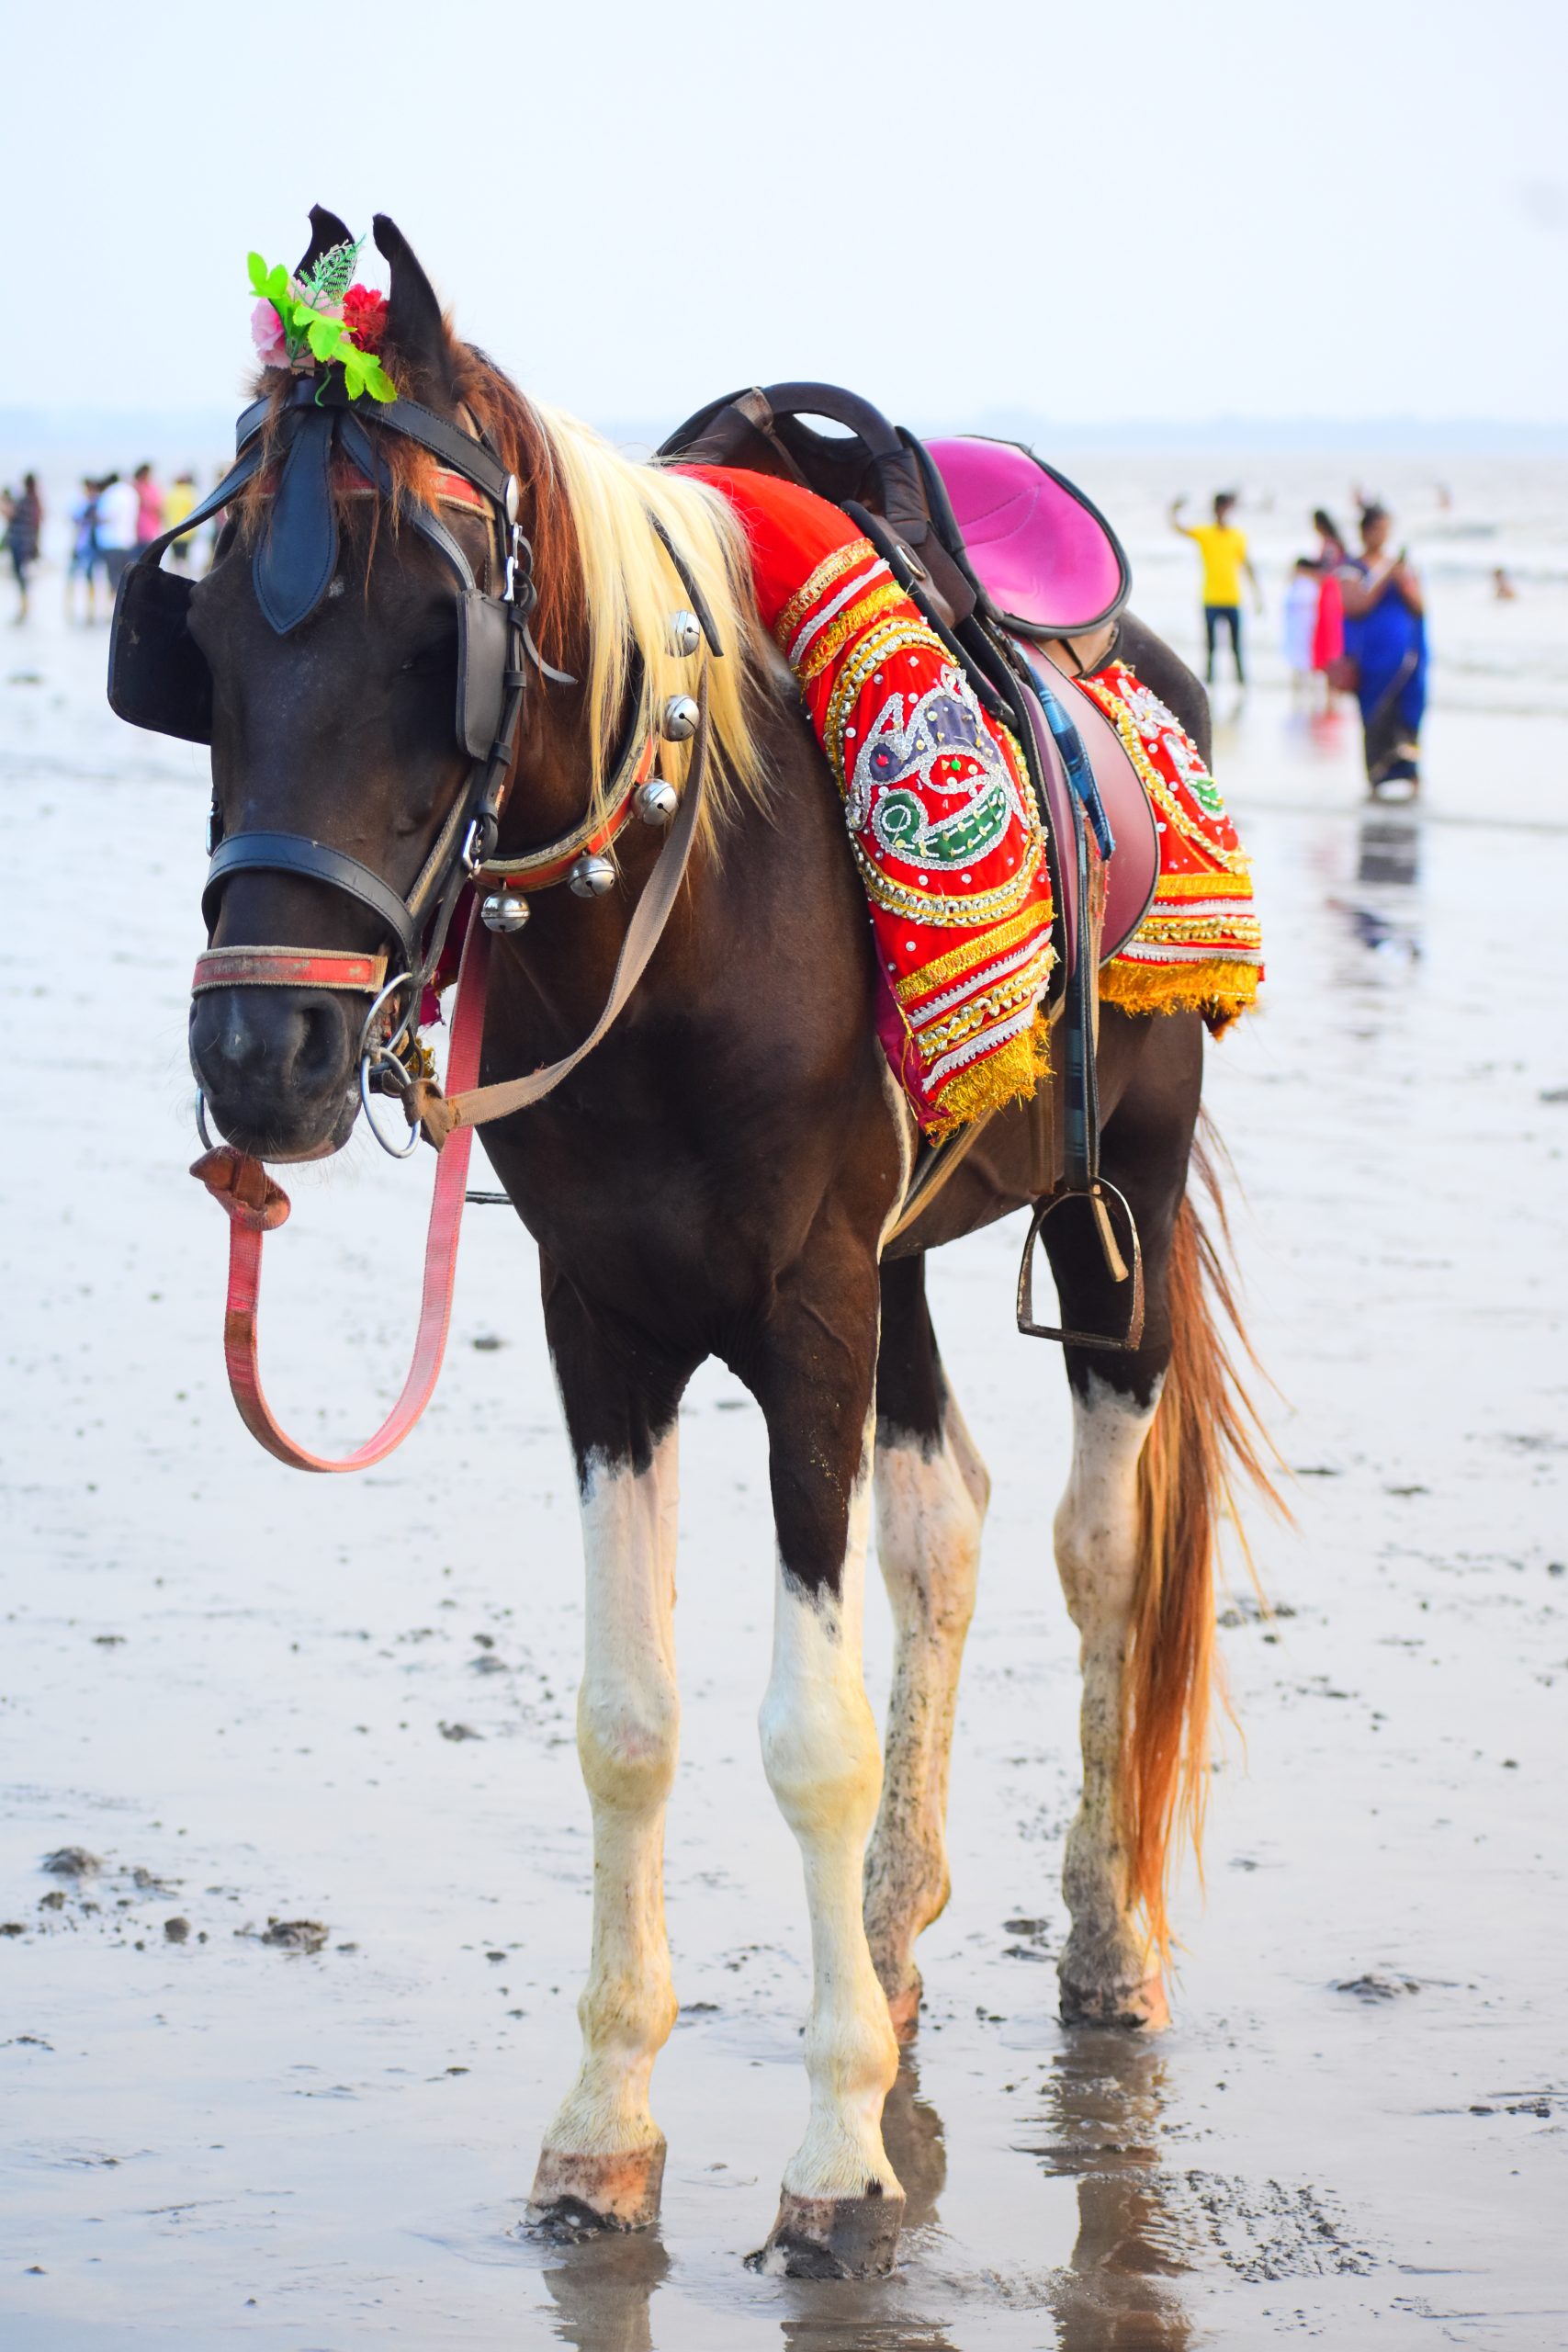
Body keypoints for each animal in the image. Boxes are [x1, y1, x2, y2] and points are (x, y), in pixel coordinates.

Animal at [181, 216, 1279, 2277]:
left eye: (427, 637)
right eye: (191, 646)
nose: (258, 1054)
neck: (680, 907)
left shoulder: (802, 1305)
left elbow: (808, 1729)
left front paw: (836, 2154)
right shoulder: (605, 1317)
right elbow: (627, 1719)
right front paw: (604, 2129)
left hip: (1124, 1201)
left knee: (1096, 1550)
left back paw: (1102, 1938)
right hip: (909, 1255)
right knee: (944, 1525)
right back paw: (892, 1928)